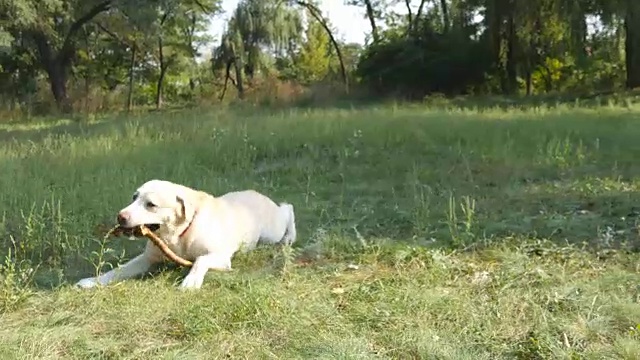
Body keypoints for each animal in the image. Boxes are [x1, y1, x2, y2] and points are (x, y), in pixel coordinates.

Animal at [75, 180, 298, 290]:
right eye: (134, 197)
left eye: (151, 204)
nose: (120, 216)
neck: (178, 235)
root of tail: (257, 193)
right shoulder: (147, 258)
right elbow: (118, 270)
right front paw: (92, 282)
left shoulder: (221, 257)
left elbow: (200, 260)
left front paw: (191, 281)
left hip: (271, 231)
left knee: (288, 207)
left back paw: (289, 238)